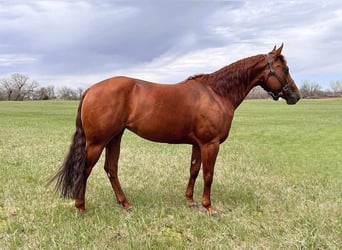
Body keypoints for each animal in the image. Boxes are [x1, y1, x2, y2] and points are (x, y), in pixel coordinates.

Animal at [50, 43, 300, 215]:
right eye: (285, 69)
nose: (296, 96)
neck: (217, 93)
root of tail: (90, 89)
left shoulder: (198, 144)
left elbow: (194, 170)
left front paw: (190, 200)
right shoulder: (210, 144)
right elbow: (208, 175)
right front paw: (208, 206)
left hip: (114, 137)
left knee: (111, 168)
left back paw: (125, 203)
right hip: (97, 142)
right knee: (85, 170)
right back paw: (81, 206)